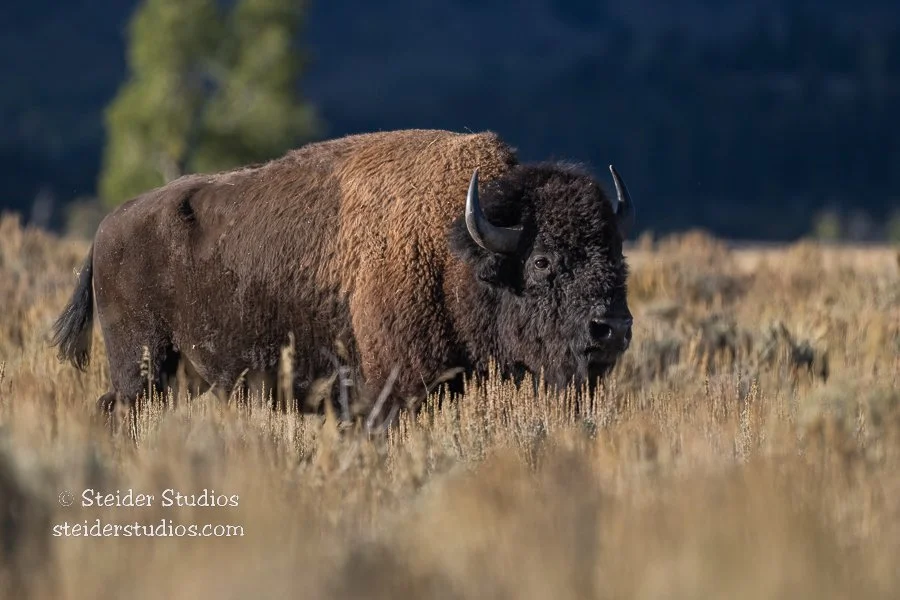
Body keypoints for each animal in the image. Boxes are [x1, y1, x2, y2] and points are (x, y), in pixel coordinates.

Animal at [51, 129, 635, 417]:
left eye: (617, 252)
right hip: (141, 368)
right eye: (542, 261)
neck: (454, 248)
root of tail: (105, 230)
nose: (613, 329)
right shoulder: (394, 389)